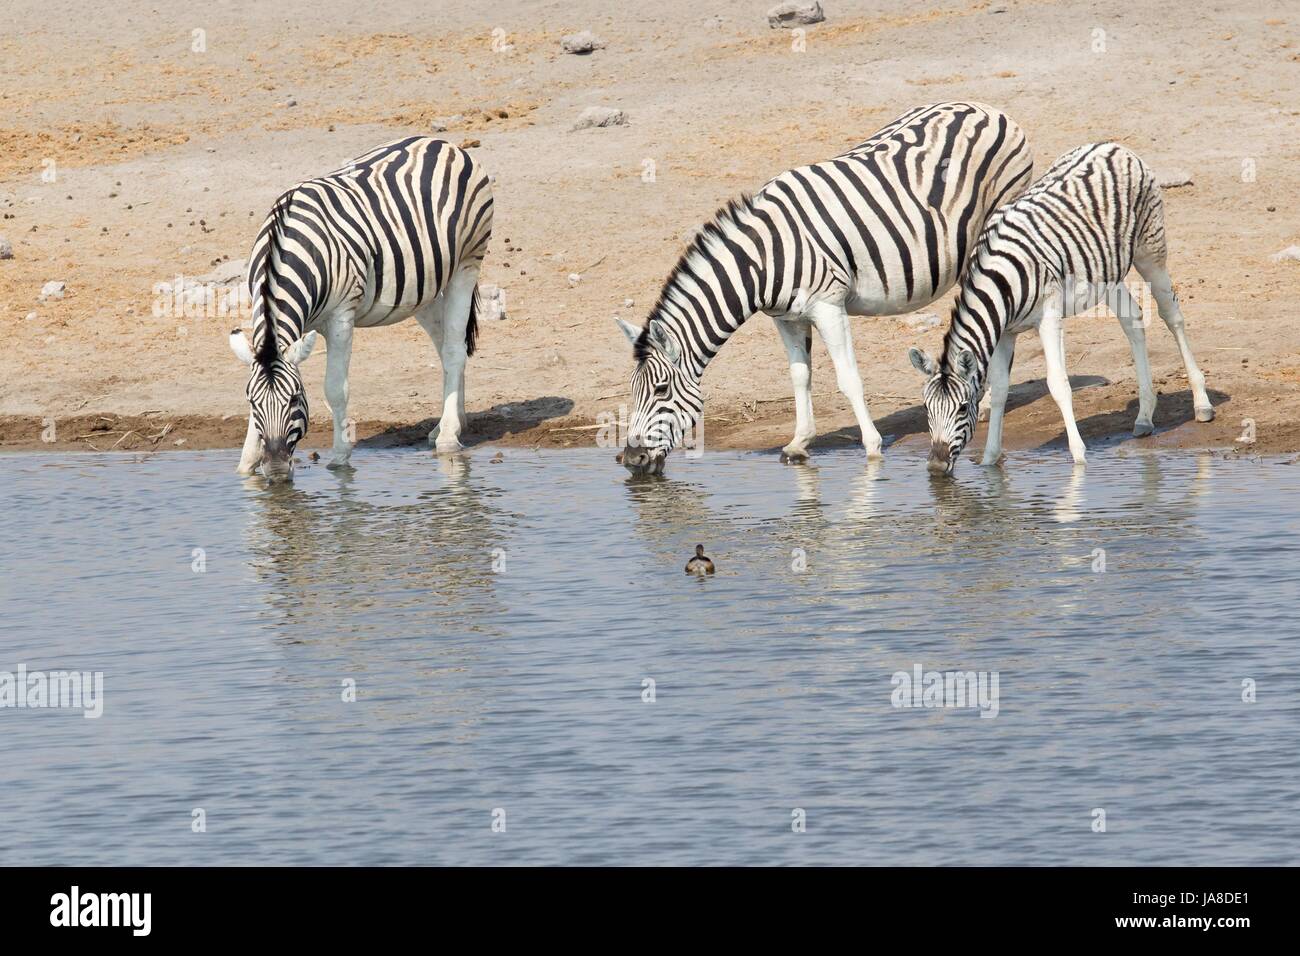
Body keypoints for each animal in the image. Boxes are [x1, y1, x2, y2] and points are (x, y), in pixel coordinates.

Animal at [228, 134, 491, 478]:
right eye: (252, 403)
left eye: (295, 399)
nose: (275, 470)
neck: (284, 249)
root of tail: (441, 142)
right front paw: (247, 464)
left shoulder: (341, 316)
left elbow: (334, 388)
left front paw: (340, 458)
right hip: (424, 286)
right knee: (445, 344)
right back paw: (452, 423)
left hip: (467, 263)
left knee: (454, 350)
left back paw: (448, 436)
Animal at [613, 102, 1029, 476]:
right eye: (632, 389)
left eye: (661, 390)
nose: (632, 459)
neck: (763, 260)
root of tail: (986, 109)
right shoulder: (785, 318)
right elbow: (800, 375)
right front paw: (800, 442)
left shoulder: (829, 305)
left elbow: (848, 378)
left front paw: (872, 448)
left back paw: (985, 400)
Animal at [909, 140, 1211, 476]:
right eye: (926, 409)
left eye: (962, 408)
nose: (936, 467)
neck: (1001, 281)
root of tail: (1112, 145)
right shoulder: (1004, 332)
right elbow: (999, 390)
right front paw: (990, 461)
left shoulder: (1049, 317)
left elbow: (1058, 383)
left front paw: (1079, 458)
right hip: (1108, 272)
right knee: (1132, 320)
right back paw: (1144, 416)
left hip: (1151, 251)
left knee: (1172, 315)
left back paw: (1201, 403)